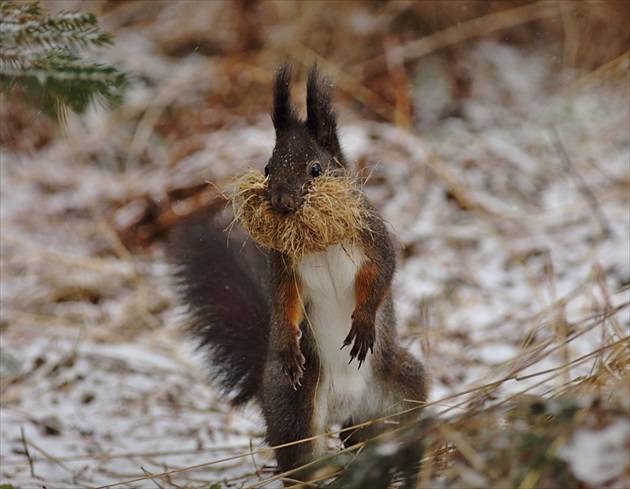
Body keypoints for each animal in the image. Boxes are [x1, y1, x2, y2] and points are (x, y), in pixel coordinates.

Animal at [173, 63, 430, 482]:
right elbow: (284, 300)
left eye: (316, 168)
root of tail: (348, 410)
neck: (319, 242)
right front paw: (288, 345)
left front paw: (363, 322)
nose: (281, 201)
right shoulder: (283, 265)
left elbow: (382, 272)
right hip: (294, 405)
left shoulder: (372, 236)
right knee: (300, 461)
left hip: (403, 384)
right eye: (267, 167)